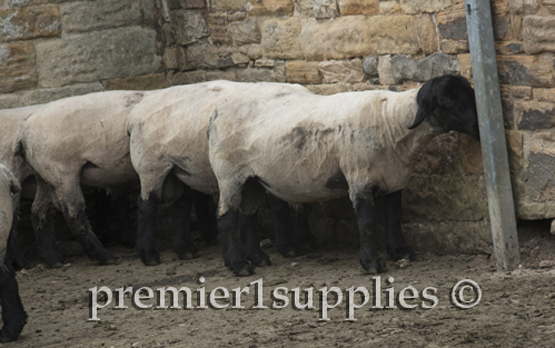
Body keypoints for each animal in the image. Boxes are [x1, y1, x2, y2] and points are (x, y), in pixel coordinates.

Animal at [210, 75, 482, 276]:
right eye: (447, 100)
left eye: (471, 94)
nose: (479, 128)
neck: (392, 121)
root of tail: (217, 112)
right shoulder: (359, 179)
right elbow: (368, 222)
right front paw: (372, 263)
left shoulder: (394, 179)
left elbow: (394, 217)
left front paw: (400, 251)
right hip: (229, 174)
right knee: (226, 218)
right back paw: (238, 265)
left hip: (252, 179)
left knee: (247, 215)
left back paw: (257, 258)